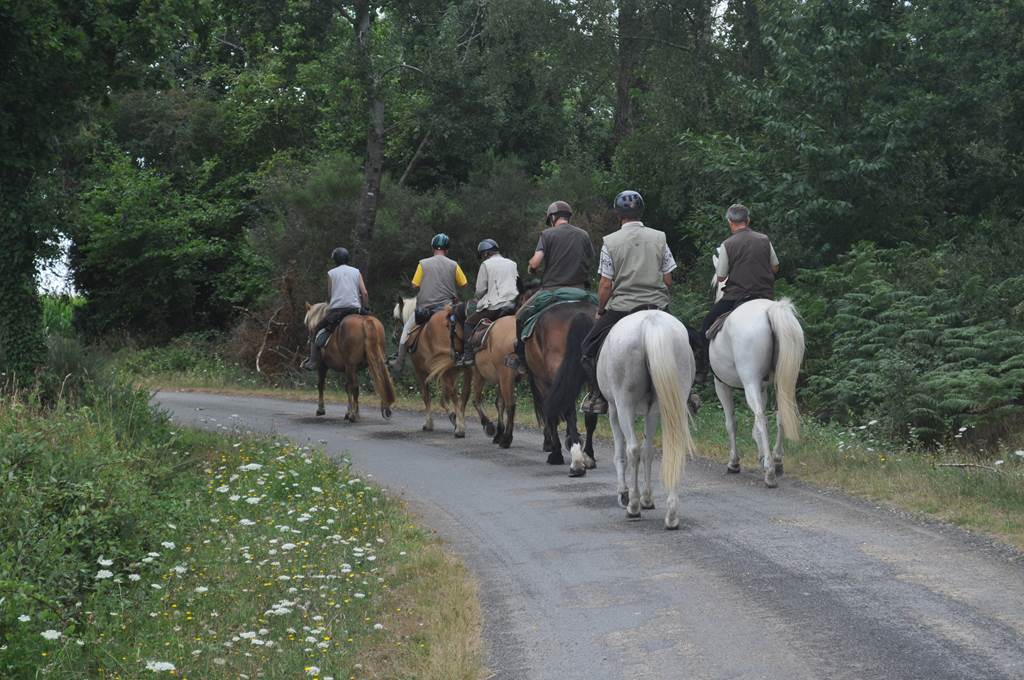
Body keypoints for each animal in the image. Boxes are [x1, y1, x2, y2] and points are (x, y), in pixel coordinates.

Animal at [393, 296, 468, 436]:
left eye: (396, 318)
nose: (394, 336)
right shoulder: (448, 372)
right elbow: (445, 396)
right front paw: (454, 417)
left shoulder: (421, 372)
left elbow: (426, 395)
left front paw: (429, 423)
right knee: (463, 395)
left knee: (455, 394)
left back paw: (460, 429)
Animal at [585, 311, 696, 528]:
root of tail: (651, 324)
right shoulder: (652, 412)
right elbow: (649, 451)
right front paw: (647, 498)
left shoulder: (613, 409)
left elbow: (621, 453)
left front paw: (624, 494)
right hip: (670, 399)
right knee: (669, 449)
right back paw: (671, 514)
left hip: (624, 404)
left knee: (632, 450)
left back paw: (633, 505)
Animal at [708, 251, 802, 485]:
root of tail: (771, 310)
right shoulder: (763, 385)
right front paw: (760, 452)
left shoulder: (721, 385)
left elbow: (731, 422)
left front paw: (734, 462)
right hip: (784, 381)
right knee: (780, 415)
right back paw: (776, 461)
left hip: (748, 381)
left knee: (761, 417)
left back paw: (769, 472)